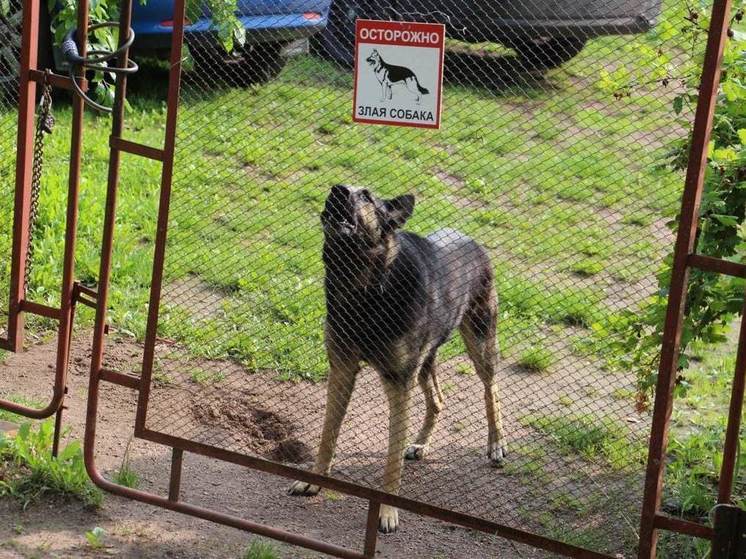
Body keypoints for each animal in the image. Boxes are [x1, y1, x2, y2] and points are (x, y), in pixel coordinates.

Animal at [284, 185, 506, 532]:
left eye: (365, 196)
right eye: (341, 187)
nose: (337, 189)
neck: (364, 288)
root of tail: (472, 240)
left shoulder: (398, 382)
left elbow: (391, 457)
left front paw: (387, 511)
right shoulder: (342, 369)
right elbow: (327, 435)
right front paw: (315, 481)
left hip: (480, 343)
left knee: (491, 389)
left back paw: (496, 444)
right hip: (426, 361)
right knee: (438, 399)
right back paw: (421, 444)